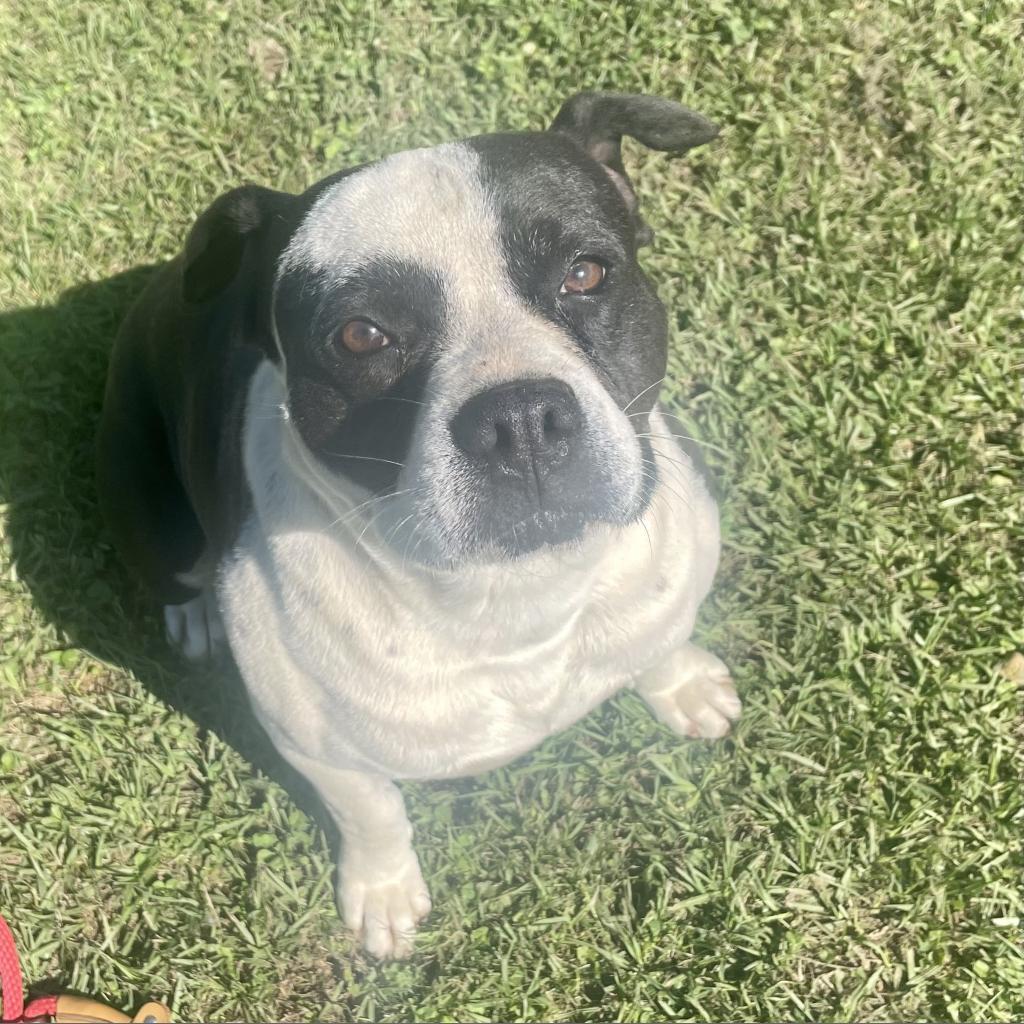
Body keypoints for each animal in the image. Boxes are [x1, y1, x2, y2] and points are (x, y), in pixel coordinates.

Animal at [96, 92, 741, 954]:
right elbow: (372, 814)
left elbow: (662, 640)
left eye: (586, 273)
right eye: (361, 334)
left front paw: (683, 684)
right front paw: (383, 890)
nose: (519, 418)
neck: (514, 596)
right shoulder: (320, 751)